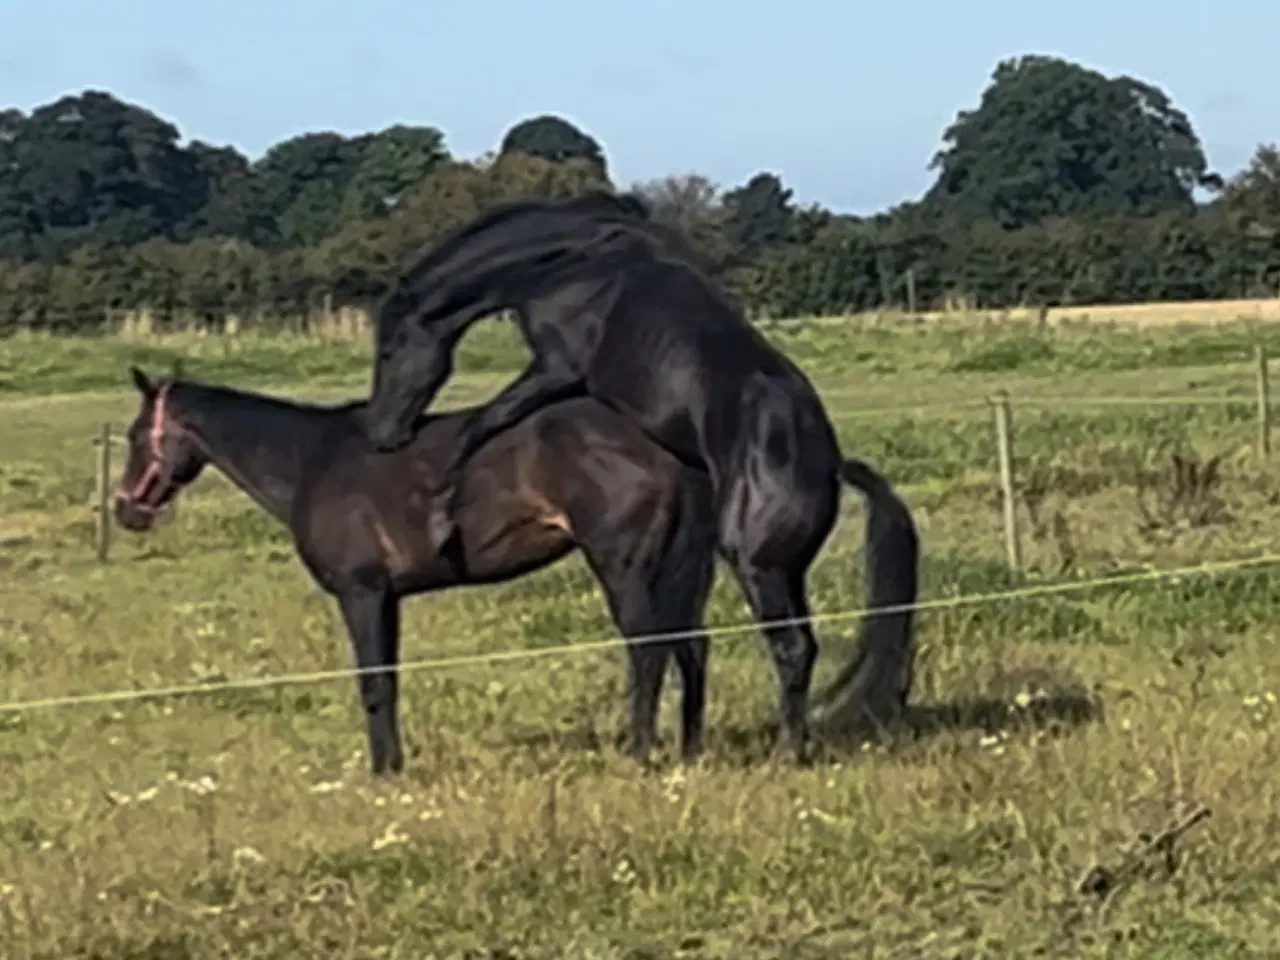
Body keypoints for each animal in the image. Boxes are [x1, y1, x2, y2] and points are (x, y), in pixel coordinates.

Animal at [112, 363, 921, 778]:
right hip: (682, 567)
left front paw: (385, 773)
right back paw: (689, 750)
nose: (125, 508)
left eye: (135, 435)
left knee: (650, 649)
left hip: (623, 562)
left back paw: (641, 754)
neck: (313, 460)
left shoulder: (363, 594)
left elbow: (374, 684)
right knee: (692, 648)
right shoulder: (387, 599)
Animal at [363, 189, 911, 757]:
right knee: (800, 645)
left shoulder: (555, 369)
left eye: (389, 349)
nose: (380, 432)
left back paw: (783, 754)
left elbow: (478, 427)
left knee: (791, 648)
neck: (580, 259)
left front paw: (440, 517)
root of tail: (831, 466)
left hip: (755, 565)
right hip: (787, 571)